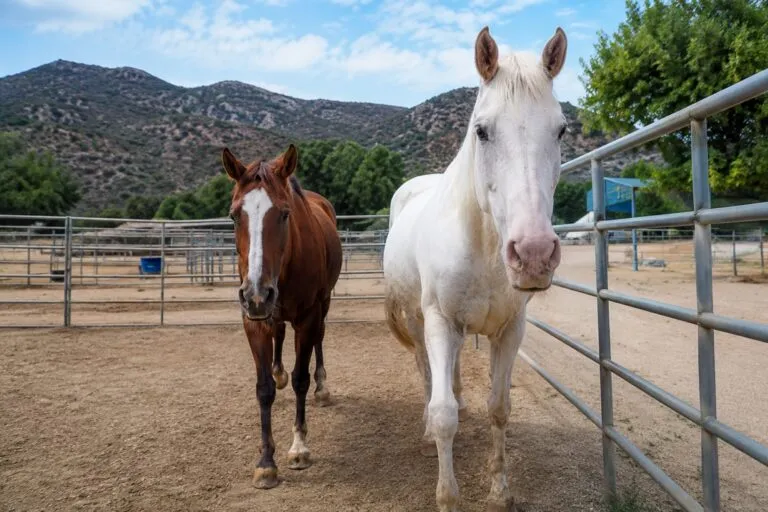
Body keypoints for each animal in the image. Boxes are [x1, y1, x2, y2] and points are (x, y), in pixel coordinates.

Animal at [221, 144, 342, 489]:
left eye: (285, 213)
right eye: (234, 215)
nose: (257, 292)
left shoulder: (308, 316)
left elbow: (301, 378)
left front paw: (299, 447)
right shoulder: (253, 320)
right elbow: (263, 389)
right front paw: (265, 463)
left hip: (322, 304)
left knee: (319, 341)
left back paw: (322, 387)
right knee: (279, 334)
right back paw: (279, 372)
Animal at [383, 26, 568, 512]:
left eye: (561, 129)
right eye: (481, 131)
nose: (534, 254)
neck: (484, 247)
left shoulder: (509, 330)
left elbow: (499, 408)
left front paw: (499, 490)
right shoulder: (439, 321)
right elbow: (444, 414)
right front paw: (447, 495)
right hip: (418, 320)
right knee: (426, 370)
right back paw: (426, 427)